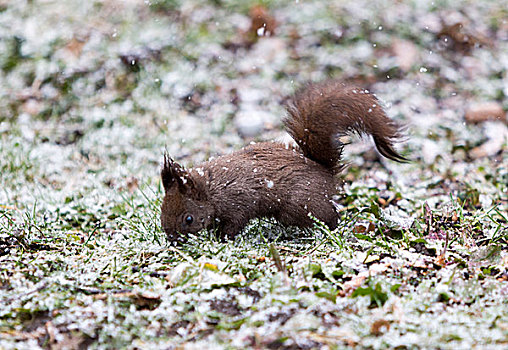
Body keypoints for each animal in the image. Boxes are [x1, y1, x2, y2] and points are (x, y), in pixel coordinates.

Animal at [161, 80, 406, 242]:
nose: (172, 239)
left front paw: (222, 238)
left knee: (329, 216)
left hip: (299, 206)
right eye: (162, 210)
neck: (211, 189)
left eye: (189, 219)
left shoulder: (239, 202)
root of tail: (325, 170)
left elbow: (234, 223)